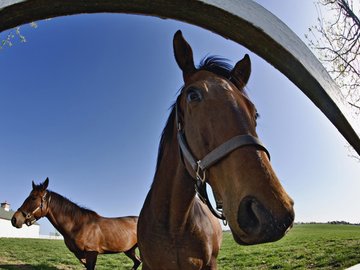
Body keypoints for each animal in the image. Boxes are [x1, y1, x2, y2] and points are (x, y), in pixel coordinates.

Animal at [11, 178, 141, 268]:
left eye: (33, 198)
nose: (15, 219)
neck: (78, 225)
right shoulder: (80, 255)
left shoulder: (91, 254)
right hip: (129, 250)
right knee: (137, 262)